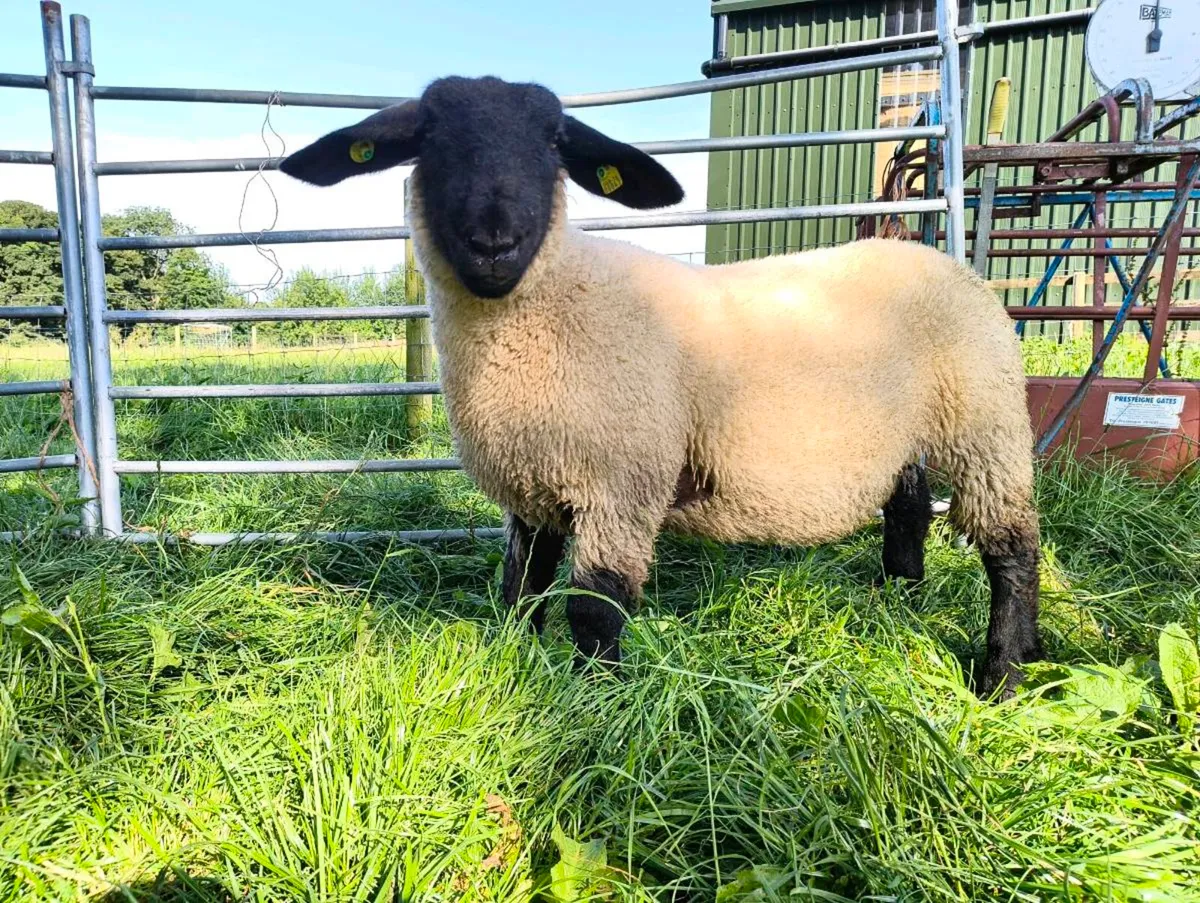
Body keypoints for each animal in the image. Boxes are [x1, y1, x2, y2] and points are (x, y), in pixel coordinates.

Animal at [279, 74, 1045, 700]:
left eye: (554, 143)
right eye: (429, 138)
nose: (495, 243)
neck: (546, 310)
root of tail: (945, 263)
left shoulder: (620, 482)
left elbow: (594, 608)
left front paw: (593, 703)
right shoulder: (533, 486)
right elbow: (520, 588)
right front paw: (518, 668)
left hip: (986, 423)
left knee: (1012, 548)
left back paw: (1003, 673)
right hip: (910, 432)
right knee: (908, 508)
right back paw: (904, 604)